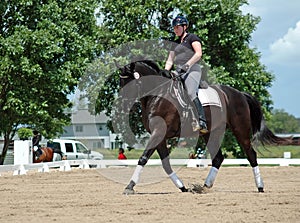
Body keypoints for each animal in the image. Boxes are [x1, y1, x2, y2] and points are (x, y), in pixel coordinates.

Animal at [116, 60, 290, 194]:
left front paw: (129, 187)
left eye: (129, 82)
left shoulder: (159, 133)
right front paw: (183, 187)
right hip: (211, 132)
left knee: (251, 155)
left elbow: (143, 158)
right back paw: (205, 186)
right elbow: (165, 164)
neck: (158, 95)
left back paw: (260, 187)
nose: (121, 106)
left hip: (240, 130)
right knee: (218, 158)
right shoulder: (159, 135)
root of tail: (239, 93)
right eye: (120, 82)